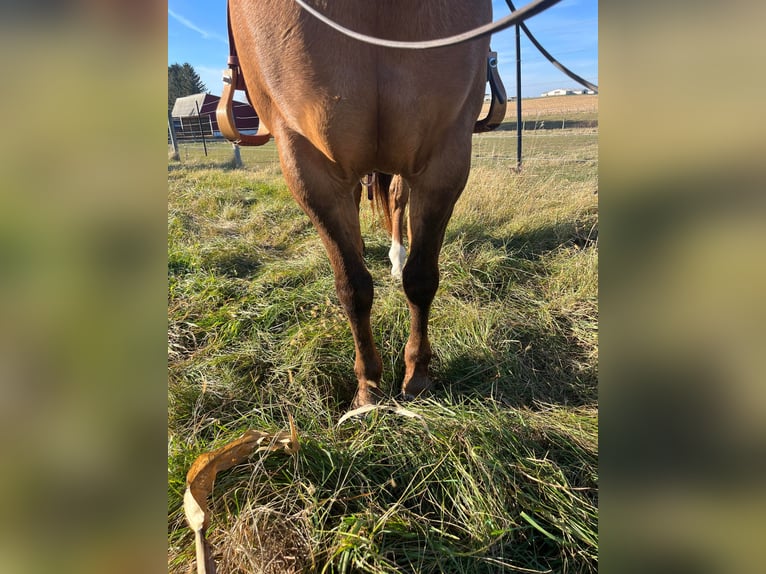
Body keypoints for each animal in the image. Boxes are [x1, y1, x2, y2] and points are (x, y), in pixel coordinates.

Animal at [225, 0, 496, 408]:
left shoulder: (445, 157)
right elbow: (352, 288)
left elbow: (421, 278)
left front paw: (417, 376)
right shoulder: (309, 167)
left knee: (397, 205)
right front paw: (368, 387)